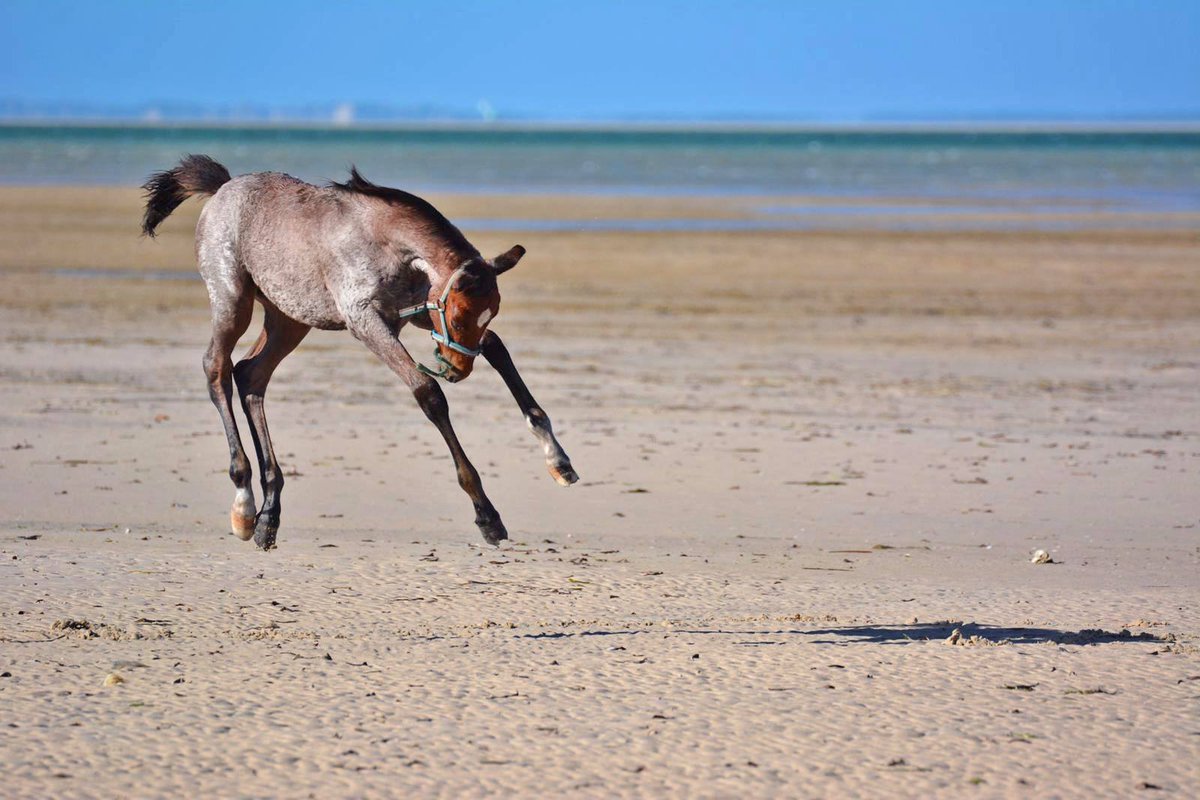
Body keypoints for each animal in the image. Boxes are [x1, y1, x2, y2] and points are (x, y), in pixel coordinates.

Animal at [141, 154, 577, 551]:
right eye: (458, 313)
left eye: (492, 311)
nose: (457, 369)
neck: (387, 245)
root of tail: (223, 187)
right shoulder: (366, 321)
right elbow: (429, 394)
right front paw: (487, 515)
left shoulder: (418, 314)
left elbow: (497, 349)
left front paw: (558, 461)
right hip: (233, 300)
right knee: (216, 368)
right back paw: (245, 505)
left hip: (289, 318)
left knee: (250, 374)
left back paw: (269, 515)